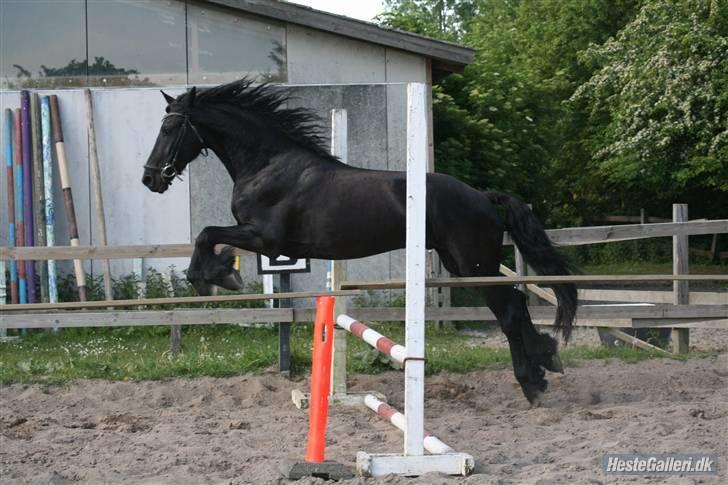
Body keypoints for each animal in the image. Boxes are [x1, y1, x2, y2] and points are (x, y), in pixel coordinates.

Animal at [141, 80, 576, 404]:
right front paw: (217, 275)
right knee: (515, 304)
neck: (268, 164)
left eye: (168, 129)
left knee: (510, 310)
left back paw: (533, 382)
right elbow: (210, 236)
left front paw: (211, 278)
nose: (150, 178)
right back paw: (546, 361)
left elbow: (207, 234)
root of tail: (483, 197)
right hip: (462, 263)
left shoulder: (267, 238)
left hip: (474, 264)